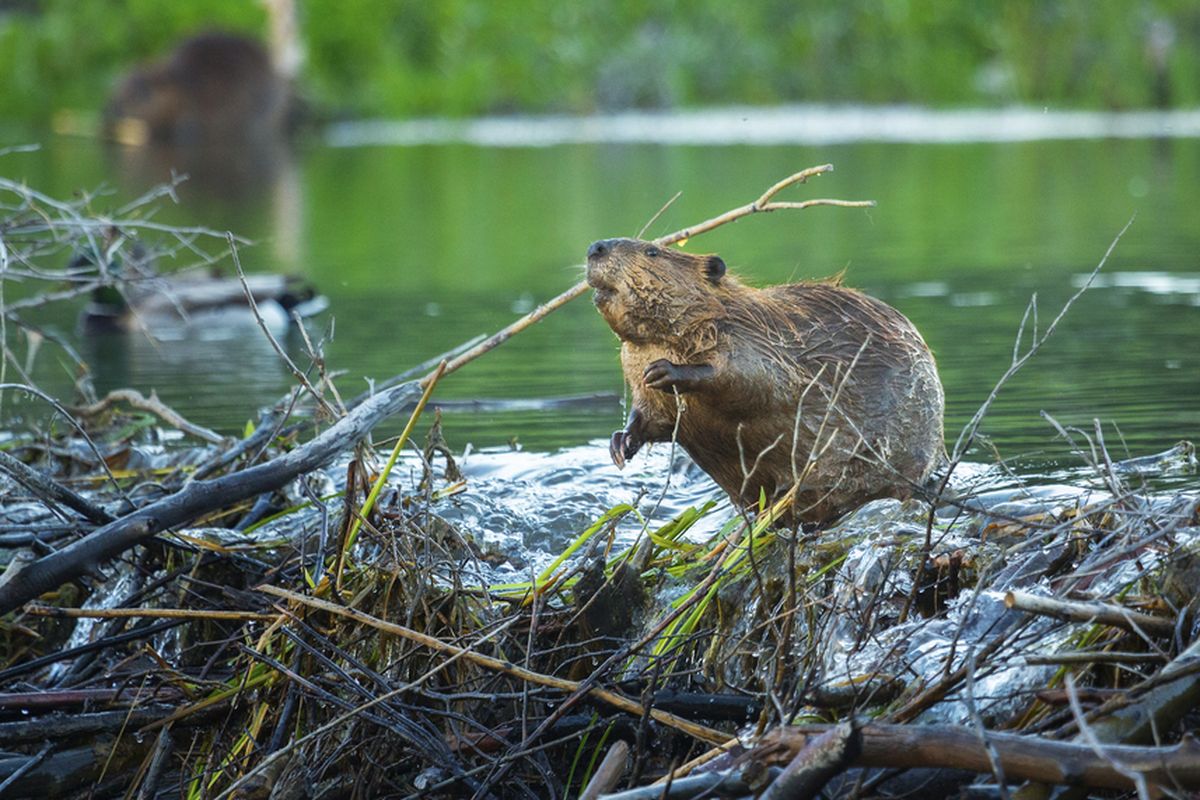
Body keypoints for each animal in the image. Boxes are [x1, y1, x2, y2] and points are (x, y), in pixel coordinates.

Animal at [588, 236, 945, 525]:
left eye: (652, 251)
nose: (596, 247)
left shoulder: (752, 338)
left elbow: (755, 381)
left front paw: (665, 371)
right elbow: (651, 416)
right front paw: (620, 444)